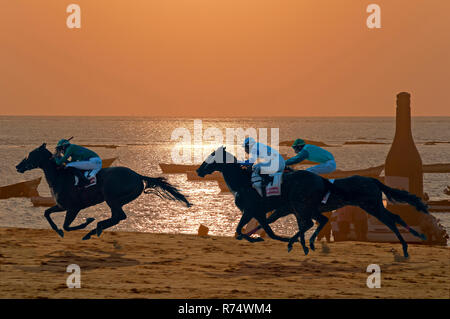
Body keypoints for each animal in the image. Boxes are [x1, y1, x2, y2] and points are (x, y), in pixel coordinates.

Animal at [16, 144, 190, 240]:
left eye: (31, 154)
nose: (18, 166)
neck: (59, 176)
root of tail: (137, 175)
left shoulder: (73, 208)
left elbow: (67, 226)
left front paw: (88, 221)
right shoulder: (62, 206)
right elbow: (47, 213)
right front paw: (58, 230)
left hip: (112, 198)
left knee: (119, 216)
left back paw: (95, 229)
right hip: (118, 200)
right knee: (117, 217)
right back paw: (95, 230)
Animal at [198, 146, 428, 258]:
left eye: (211, 158)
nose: (199, 170)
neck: (244, 181)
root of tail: (373, 179)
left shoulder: (253, 210)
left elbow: (247, 230)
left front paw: (271, 239)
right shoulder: (266, 211)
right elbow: (256, 230)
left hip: (369, 205)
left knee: (391, 219)